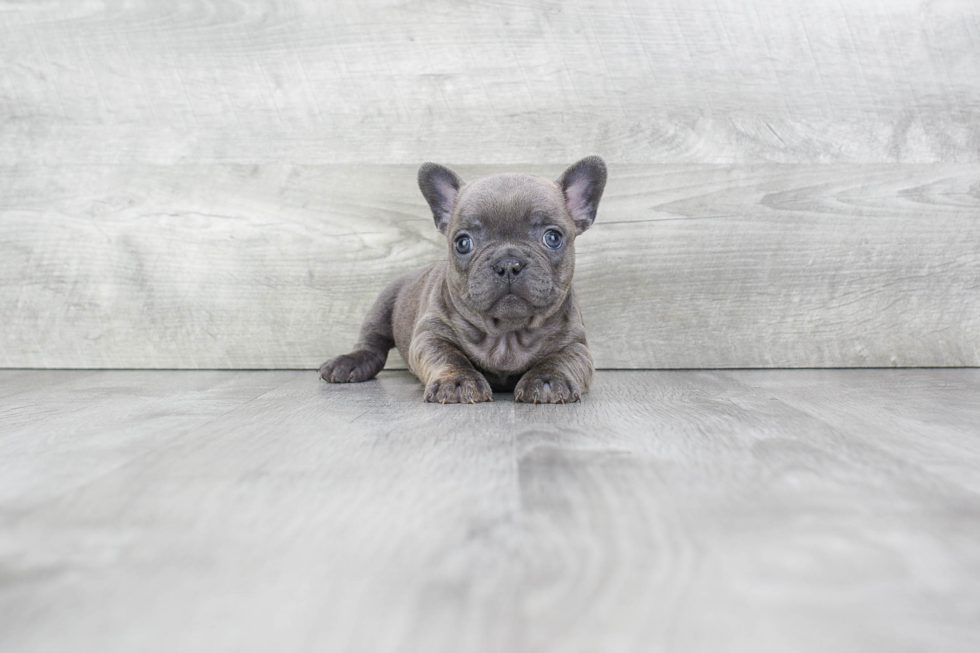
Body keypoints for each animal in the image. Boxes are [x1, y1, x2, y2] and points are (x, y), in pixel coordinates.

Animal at [322, 158, 604, 402]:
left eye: (552, 238)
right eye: (463, 243)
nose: (508, 263)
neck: (506, 334)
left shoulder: (577, 345)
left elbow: (560, 359)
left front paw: (547, 380)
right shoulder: (430, 336)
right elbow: (450, 357)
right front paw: (457, 381)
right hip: (383, 306)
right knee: (372, 344)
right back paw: (349, 363)